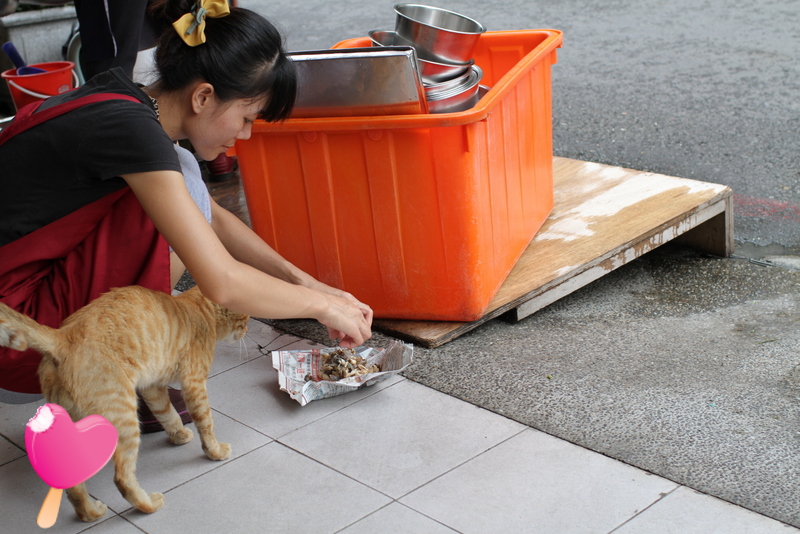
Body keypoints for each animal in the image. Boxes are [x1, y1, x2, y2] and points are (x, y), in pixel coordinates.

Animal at [0, 286, 248, 520]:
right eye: (245, 317)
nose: (246, 330)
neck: (197, 307)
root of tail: (63, 337)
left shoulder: (153, 387)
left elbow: (167, 413)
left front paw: (178, 435)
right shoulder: (194, 383)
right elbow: (205, 422)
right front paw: (215, 451)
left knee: (72, 484)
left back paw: (89, 513)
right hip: (125, 419)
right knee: (122, 479)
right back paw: (148, 505)